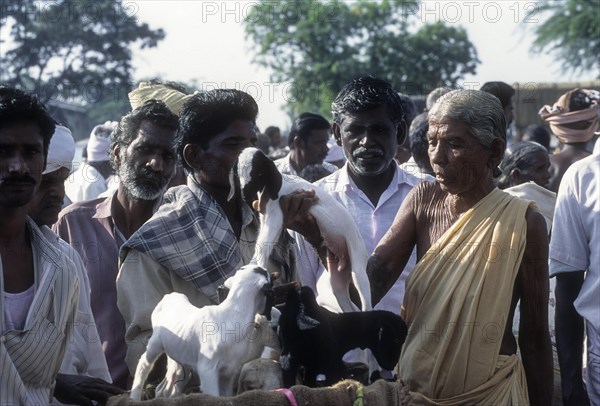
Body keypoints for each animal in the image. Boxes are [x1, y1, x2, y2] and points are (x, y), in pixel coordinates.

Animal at [234, 147, 370, 312]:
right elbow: (260, 243)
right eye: (238, 173)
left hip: (358, 260)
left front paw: (258, 269)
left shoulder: (275, 216)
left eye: (259, 172)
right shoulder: (265, 217)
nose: (244, 195)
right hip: (338, 273)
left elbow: (264, 246)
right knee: (344, 300)